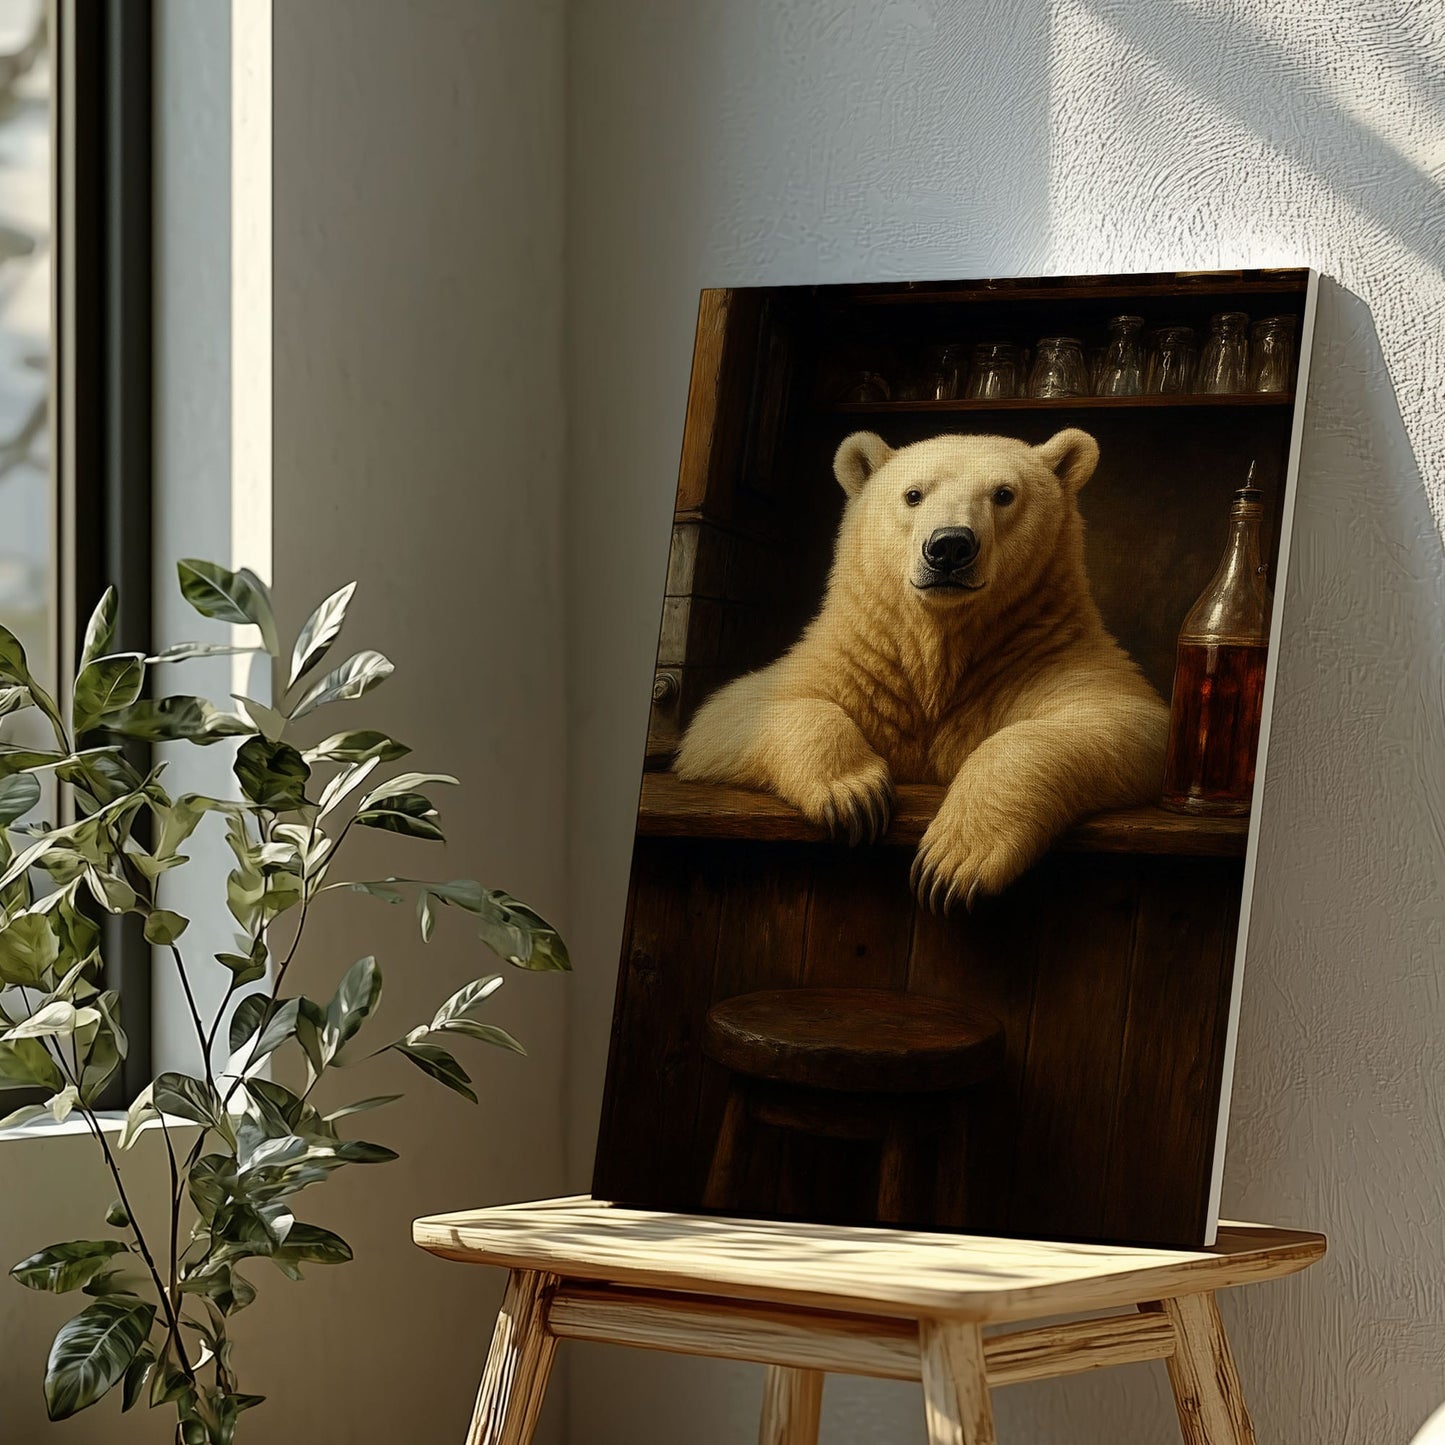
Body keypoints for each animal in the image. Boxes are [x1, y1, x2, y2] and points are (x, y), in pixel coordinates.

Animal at [673, 427, 1169, 912]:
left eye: (1004, 493)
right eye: (913, 494)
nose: (950, 546)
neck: (940, 647)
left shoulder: (1043, 655)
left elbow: (1120, 720)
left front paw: (951, 863)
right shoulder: (861, 661)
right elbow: (729, 713)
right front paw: (856, 796)